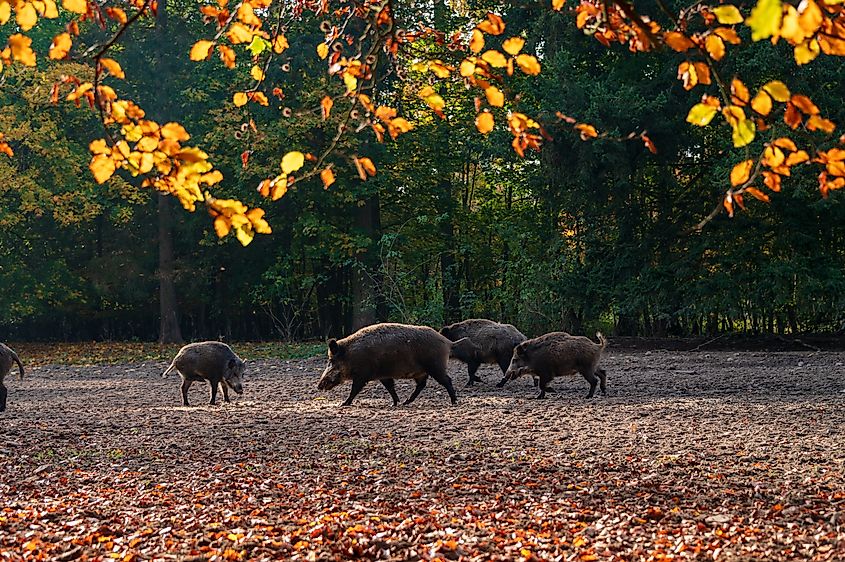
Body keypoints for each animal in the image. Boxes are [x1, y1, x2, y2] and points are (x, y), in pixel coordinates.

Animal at [317, 323, 465, 407]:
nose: (318, 386)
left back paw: (454, 402)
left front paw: (343, 404)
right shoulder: (383, 375)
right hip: (421, 372)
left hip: (435, 366)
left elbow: (354, 390)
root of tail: (447, 342)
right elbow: (390, 387)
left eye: (331, 361)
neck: (350, 355)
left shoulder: (362, 375)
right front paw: (394, 403)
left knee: (446, 380)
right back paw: (406, 402)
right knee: (421, 385)